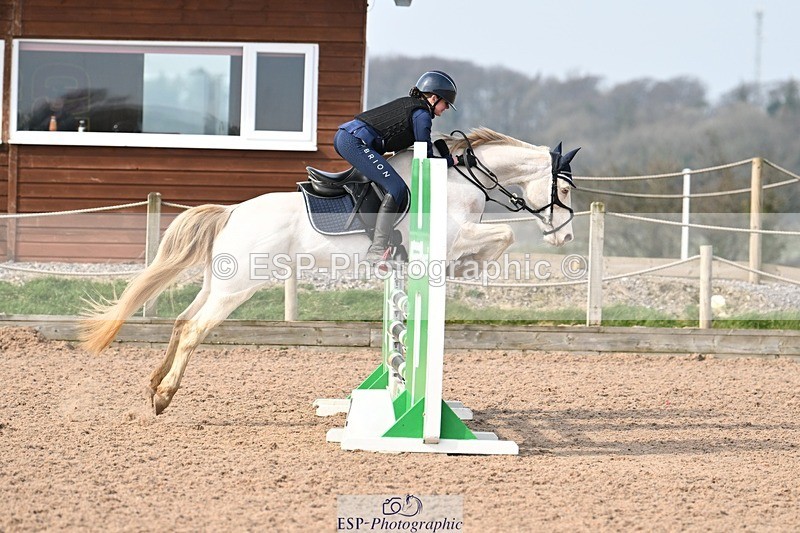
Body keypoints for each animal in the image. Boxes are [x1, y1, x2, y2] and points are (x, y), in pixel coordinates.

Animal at [78, 127, 580, 415]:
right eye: (564, 190)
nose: (565, 238)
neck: (459, 177)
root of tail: (232, 212)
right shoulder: (451, 237)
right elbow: (504, 236)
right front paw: (470, 267)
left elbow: (501, 238)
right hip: (238, 288)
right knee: (194, 330)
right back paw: (164, 397)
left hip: (220, 283)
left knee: (182, 321)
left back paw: (153, 385)